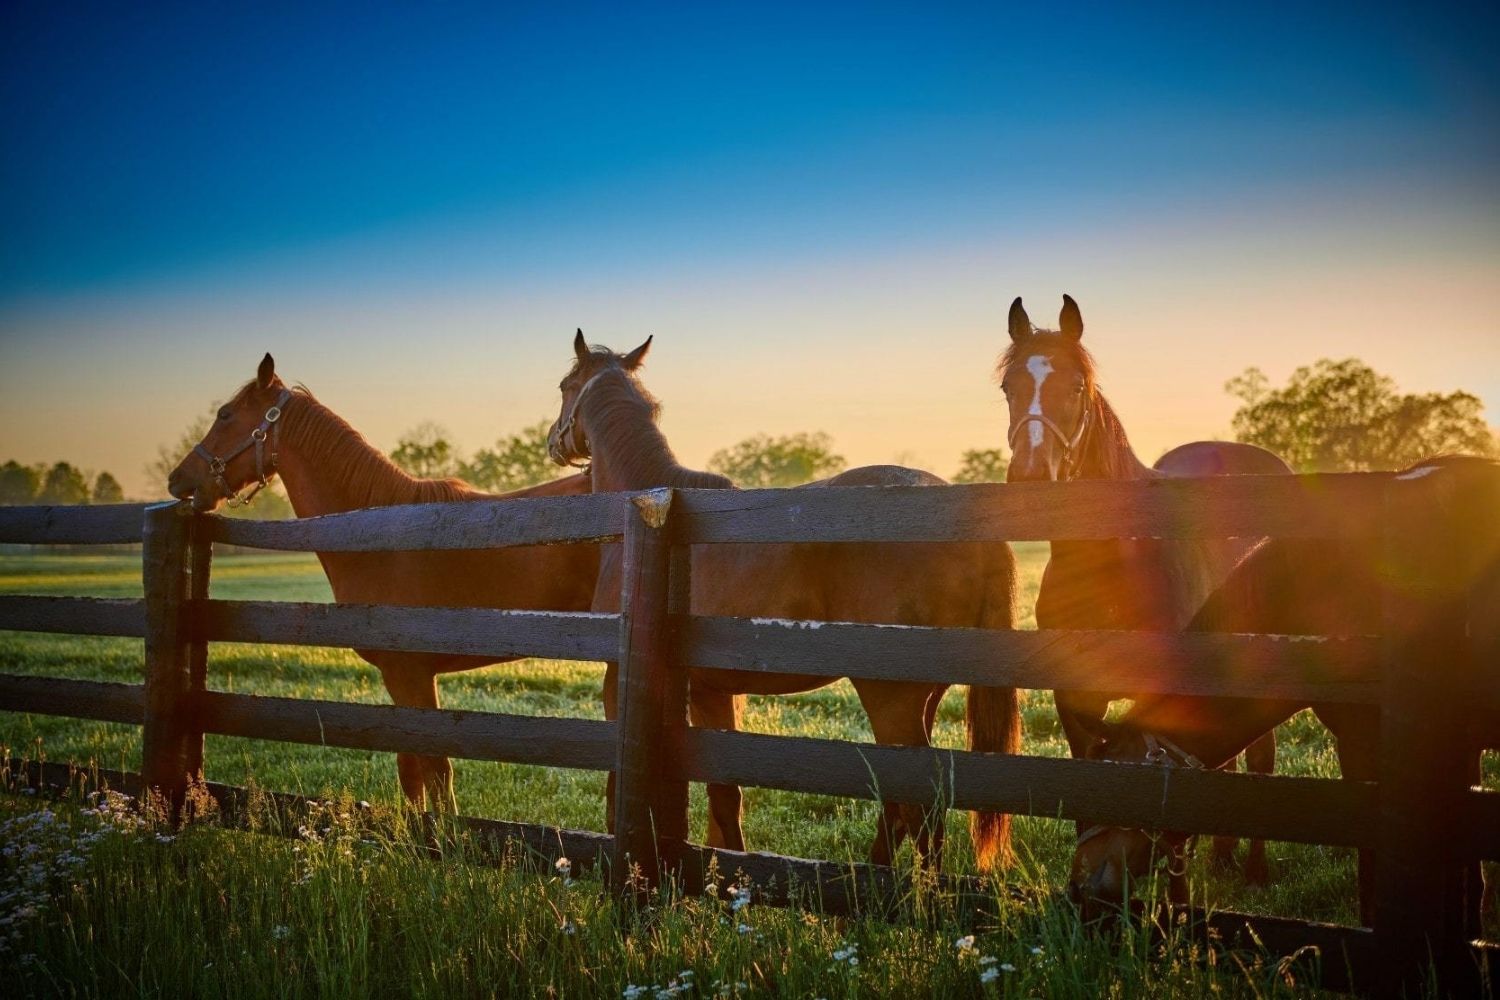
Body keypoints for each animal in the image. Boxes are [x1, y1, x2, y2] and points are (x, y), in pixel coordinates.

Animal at [166, 353, 600, 811]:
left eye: (225, 414)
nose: (178, 479)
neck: (378, 534)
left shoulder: (408, 673)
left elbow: (435, 769)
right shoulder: (403, 680)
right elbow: (411, 768)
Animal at [545, 331, 1022, 870]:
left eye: (565, 385)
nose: (553, 441)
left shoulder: (620, 682)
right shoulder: (710, 691)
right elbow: (724, 793)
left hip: (892, 697)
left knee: (922, 806)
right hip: (923, 698)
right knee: (901, 802)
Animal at [1000, 295, 1291, 881]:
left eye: (1077, 387)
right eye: (1007, 387)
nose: (1031, 476)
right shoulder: (1075, 697)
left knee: (1259, 757)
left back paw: (1250, 867)